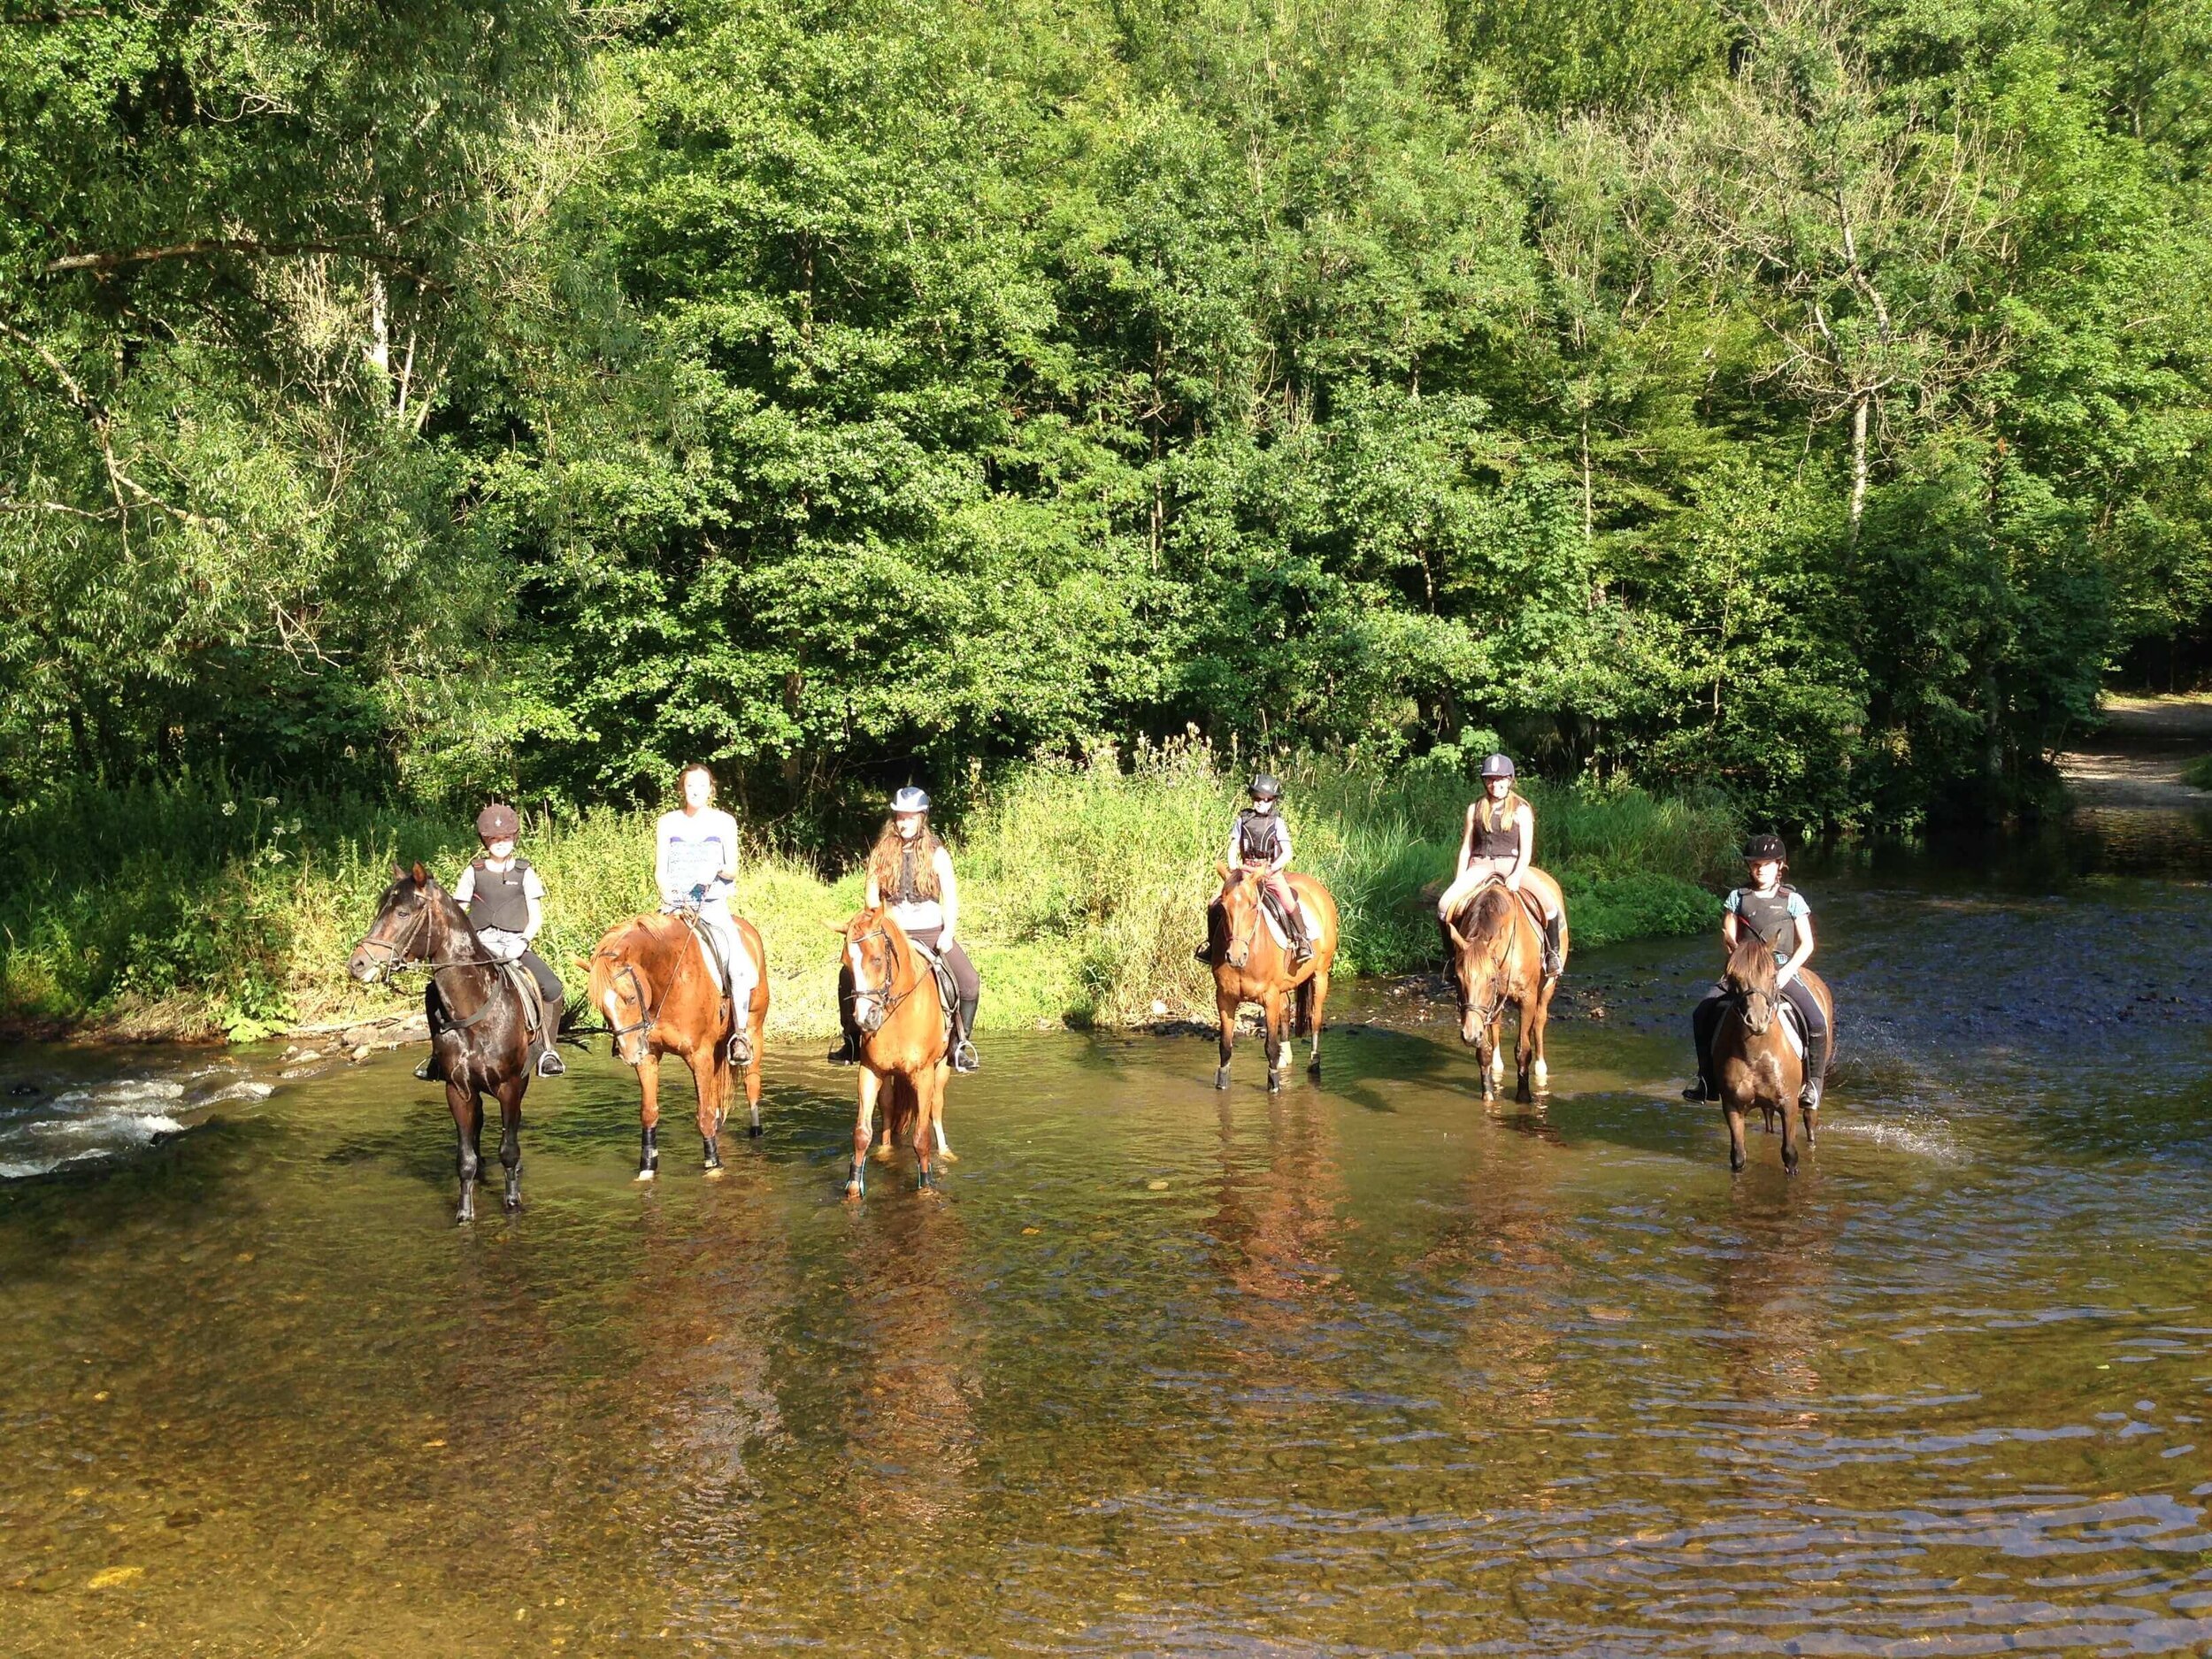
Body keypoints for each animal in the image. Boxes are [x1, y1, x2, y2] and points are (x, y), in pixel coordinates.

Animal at [347, 863, 537, 1230]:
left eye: (403, 913)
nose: (358, 964)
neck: (473, 1011)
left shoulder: (510, 1085)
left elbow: (508, 1149)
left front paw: (512, 1201)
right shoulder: (457, 1090)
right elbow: (464, 1158)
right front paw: (464, 1213)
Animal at [588, 911, 770, 1186]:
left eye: (630, 998)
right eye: (601, 1006)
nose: (629, 1054)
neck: (669, 980)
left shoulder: (699, 1055)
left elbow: (703, 1114)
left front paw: (713, 1166)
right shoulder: (649, 1056)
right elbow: (649, 1112)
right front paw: (647, 1168)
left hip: (754, 1031)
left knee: (751, 1084)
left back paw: (756, 1131)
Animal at [1203, 863, 1336, 1097]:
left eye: (1253, 906)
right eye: (1224, 907)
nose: (1235, 956)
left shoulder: (1269, 997)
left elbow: (1270, 1046)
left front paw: (1274, 1084)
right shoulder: (1225, 998)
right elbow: (1225, 1046)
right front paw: (1222, 1083)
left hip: (1320, 974)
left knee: (1315, 1018)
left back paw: (1314, 1062)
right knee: (1285, 1010)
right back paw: (1285, 1057)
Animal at [1442, 885, 1566, 1106]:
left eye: (1491, 978)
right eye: (1457, 978)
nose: (1469, 1035)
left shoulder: (1527, 1000)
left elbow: (1523, 1050)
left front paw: (1524, 1098)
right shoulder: (1480, 1010)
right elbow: (1483, 1050)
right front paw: (1488, 1097)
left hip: (1547, 989)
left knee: (1539, 1023)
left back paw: (1541, 1070)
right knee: (1496, 1025)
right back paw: (1497, 1066)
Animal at [1708, 938, 1832, 1186]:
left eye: (1773, 975)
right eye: (1733, 976)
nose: (1756, 1021)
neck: (1756, 1052)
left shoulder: (1789, 1103)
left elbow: (1790, 1154)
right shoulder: (1732, 1106)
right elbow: (1738, 1156)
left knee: (1810, 1119)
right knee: (1767, 1120)